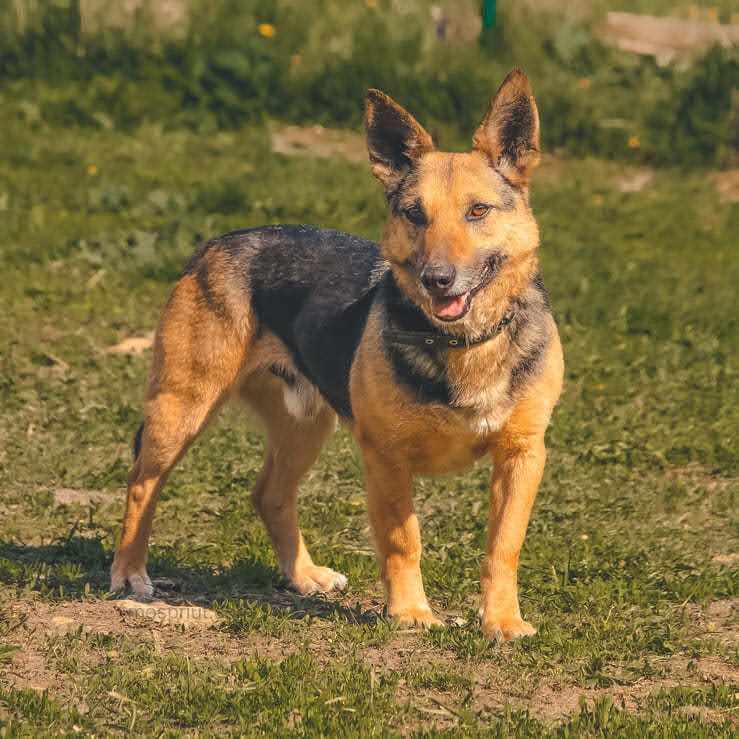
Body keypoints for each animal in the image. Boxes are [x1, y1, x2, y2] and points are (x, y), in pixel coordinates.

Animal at [110, 66, 564, 640]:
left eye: (478, 211)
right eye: (414, 215)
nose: (436, 279)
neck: (463, 343)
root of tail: (213, 244)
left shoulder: (523, 455)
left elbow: (503, 547)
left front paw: (501, 619)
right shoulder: (386, 458)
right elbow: (403, 541)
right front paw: (410, 613)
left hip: (304, 426)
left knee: (269, 494)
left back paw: (303, 576)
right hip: (181, 410)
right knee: (141, 485)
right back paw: (129, 572)